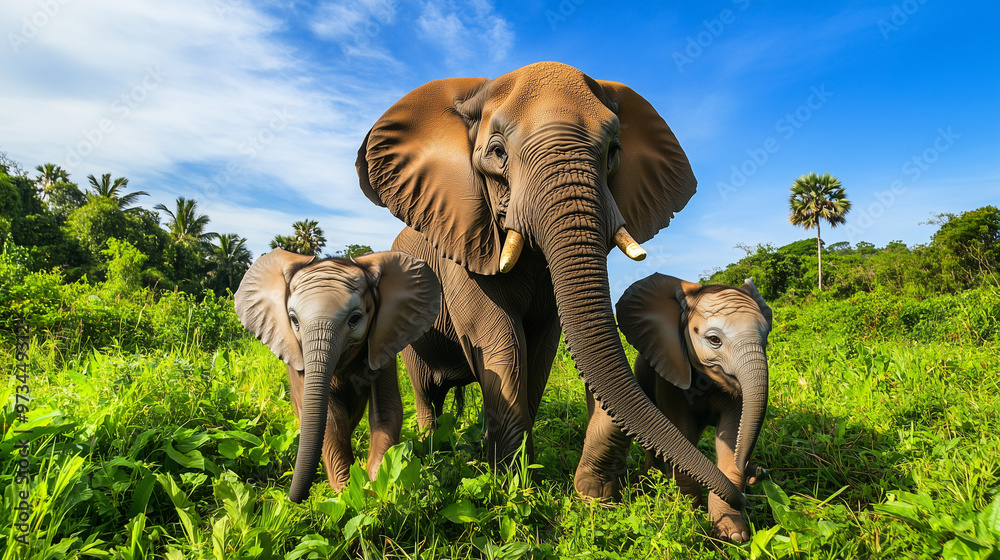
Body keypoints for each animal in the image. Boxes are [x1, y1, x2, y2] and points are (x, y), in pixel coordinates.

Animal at [234, 248, 441, 503]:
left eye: (355, 318)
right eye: (293, 320)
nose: (291, 498)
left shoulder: (385, 337)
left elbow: (386, 410)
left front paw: (376, 488)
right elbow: (331, 419)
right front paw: (348, 491)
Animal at [355, 61, 745, 509]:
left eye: (614, 151)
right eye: (498, 152)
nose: (741, 493)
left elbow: (541, 346)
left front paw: (540, 476)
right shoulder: (461, 244)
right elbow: (501, 339)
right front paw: (509, 481)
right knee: (426, 392)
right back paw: (431, 448)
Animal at [575, 273, 772, 542]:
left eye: (766, 337)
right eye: (714, 340)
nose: (756, 473)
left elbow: (732, 433)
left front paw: (733, 535)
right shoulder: (669, 373)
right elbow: (682, 429)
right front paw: (690, 518)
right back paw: (652, 480)